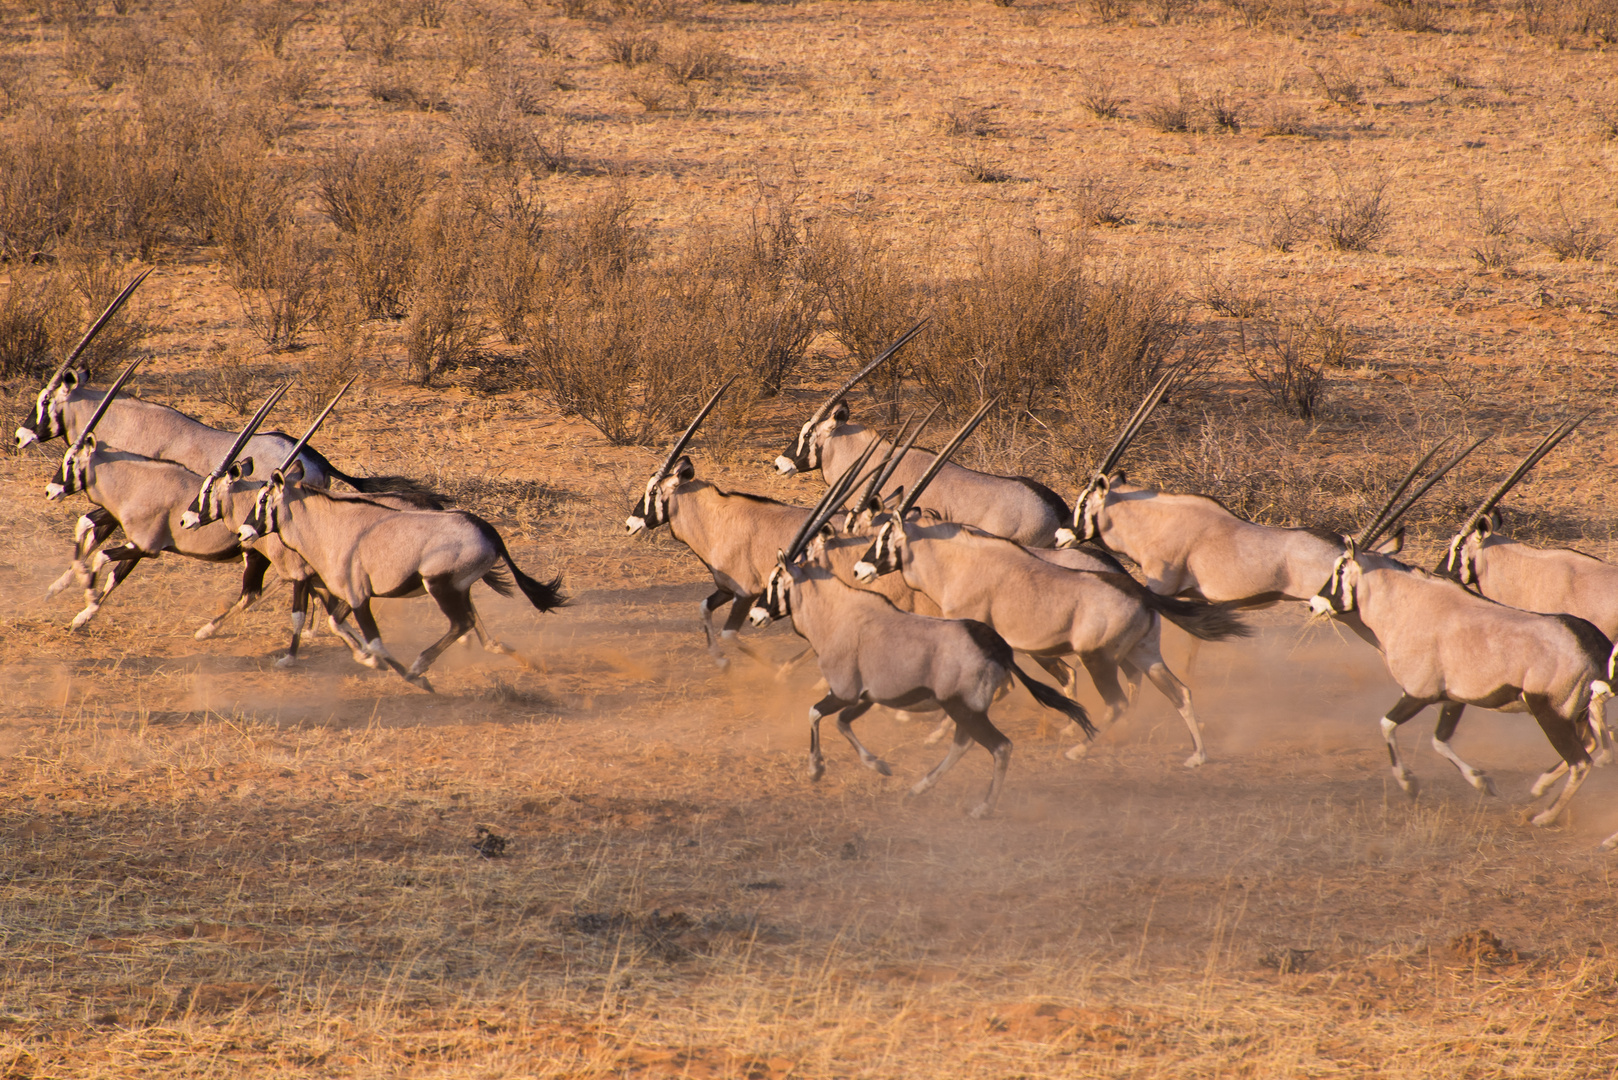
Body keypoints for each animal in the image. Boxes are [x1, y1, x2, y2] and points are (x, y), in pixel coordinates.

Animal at [236, 395, 566, 693]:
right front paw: (373, 662)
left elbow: (376, 643)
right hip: (460, 588)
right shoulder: (349, 597)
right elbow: (339, 625)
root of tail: (489, 533)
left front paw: (408, 675)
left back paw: (419, 666)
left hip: (439, 586)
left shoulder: (358, 597)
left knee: (461, 623)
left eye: (263, 499)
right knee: (472, 622)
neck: (328, 525)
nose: (243, 533)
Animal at [1300, 443, 1618, 841]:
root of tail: (1595, 645)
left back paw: (1545, 816)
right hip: (1573, 713)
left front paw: (1409, 784)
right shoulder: (1453, 698)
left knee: (1581, 761)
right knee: (1589, 747)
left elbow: (1387, 725)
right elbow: (1440, 739)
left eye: (1340, 567)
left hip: (1551, 712)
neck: (1405, 604)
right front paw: (1483, 782)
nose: (1314, 604)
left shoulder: (1418, 693)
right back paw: (1540, 789)